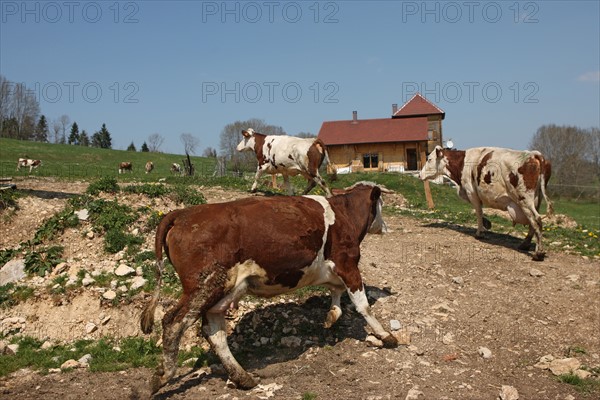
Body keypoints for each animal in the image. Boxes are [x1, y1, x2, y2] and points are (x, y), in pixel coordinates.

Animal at [141, 182, 398, 394]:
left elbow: (337, 294)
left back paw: (243, 377)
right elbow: (363, 305)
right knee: (173, 323)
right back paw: (162, 377)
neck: (344, 215)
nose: (386, 227)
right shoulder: (348, 264)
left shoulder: (333, 270)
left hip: (221, 289)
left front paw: (332, 316)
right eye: (381, 205)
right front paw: (385, 335)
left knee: (214, 331)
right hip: (204, 285)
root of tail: (181, 213)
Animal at [418, 145, 552, 260]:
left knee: (536, 220)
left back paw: (538, 253)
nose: (419, 175)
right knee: (533, 222)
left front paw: (480, 232)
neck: (463, 163)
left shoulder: (472, 192)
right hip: (536, 199)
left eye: (429, 159)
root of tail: (535, 154)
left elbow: (478, 211)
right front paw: (487, 224)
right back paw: (525, 244)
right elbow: (481, 212)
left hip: (524, 199)